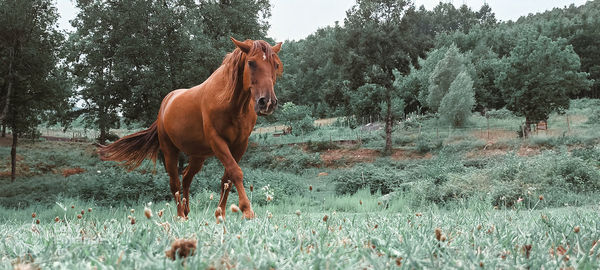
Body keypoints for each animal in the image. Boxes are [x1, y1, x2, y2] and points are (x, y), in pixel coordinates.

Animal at [98, 37, 284, 221]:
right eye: (251, 63)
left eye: (275, 65)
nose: (267, 102)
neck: (229, 102)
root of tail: (166, 102)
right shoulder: (218, 141)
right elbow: (235, 172)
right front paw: (246, 210)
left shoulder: (240, 144)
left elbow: (228, 178)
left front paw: (220, 213)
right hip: (169, 151)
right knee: (175, 182)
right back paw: (181, 215)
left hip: (198, 155)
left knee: (186, 177)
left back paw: (187, 211)